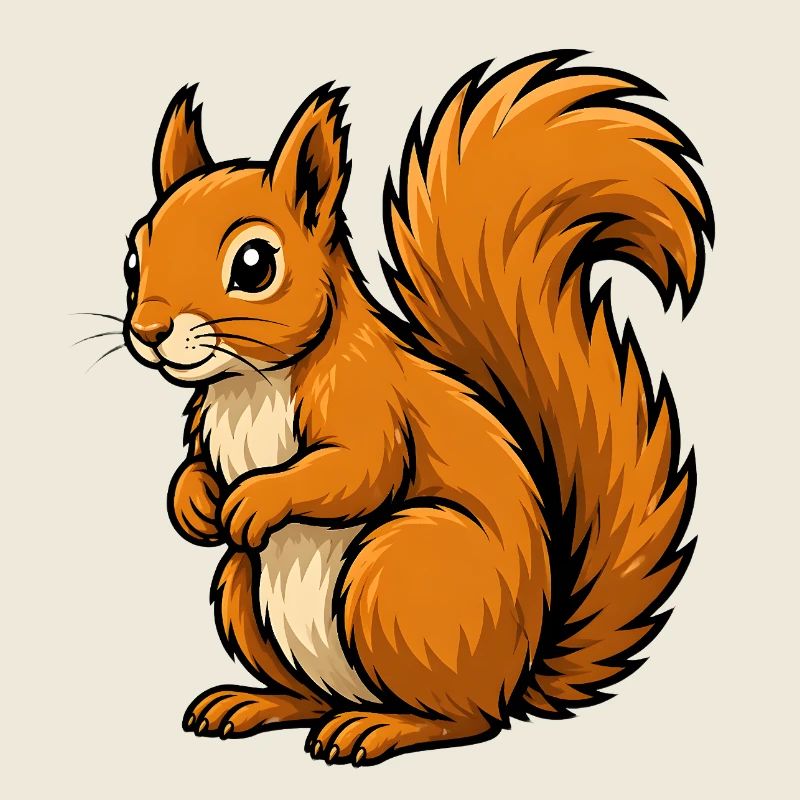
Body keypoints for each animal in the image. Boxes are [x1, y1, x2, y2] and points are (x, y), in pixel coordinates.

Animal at [121, 51, 712, 766]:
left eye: (255, 264)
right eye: (133, 257)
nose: (148, 331)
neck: (249, 384)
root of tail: (517, 674)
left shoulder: (367, 396)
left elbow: (359, 471)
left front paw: (255, 499)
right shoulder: (208, 424)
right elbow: (194, 472)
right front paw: (196, 504)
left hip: (399, 572)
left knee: (468, 721)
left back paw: (380, 728)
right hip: (244, 589)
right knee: (314, 693)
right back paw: (255, 703)